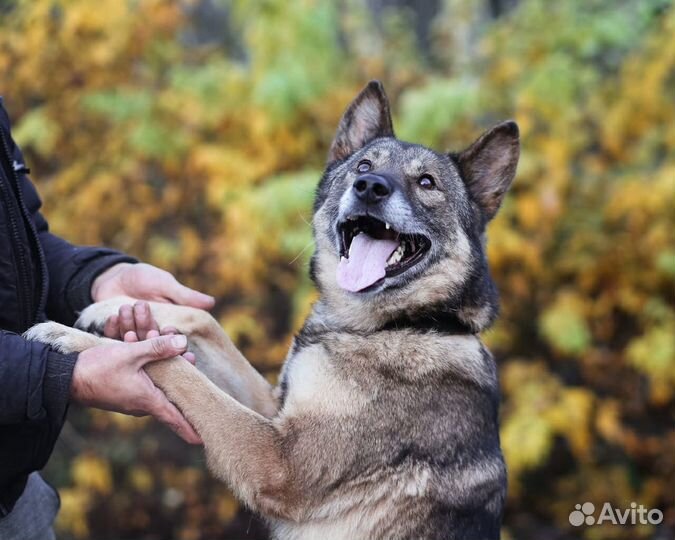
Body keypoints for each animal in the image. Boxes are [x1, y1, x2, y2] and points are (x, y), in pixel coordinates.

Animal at [26, 81, 520, 540]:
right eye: (363, 166)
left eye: (427, 183)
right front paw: (116, 303)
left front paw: (76, 341)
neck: (399, 325)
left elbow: (176, 370)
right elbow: (205, 321)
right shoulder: (273, 411)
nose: (369, 187)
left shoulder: (278, 462)